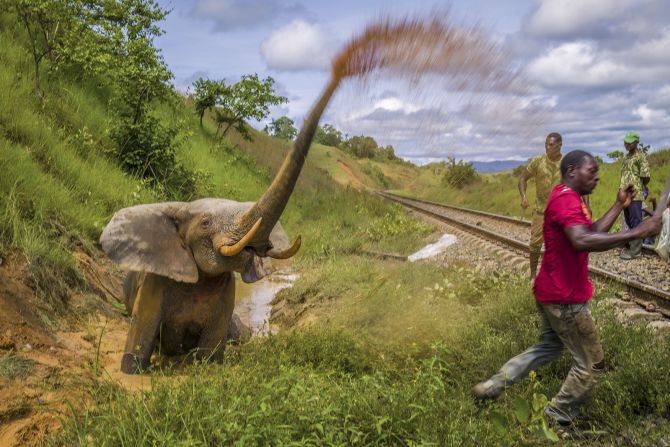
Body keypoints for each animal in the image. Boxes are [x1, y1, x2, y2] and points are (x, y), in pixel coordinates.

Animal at [101, 77, 342, 374]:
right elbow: (139, 341)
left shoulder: (226, 291)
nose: (339, 73)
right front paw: (133, 370)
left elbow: (211, 355)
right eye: (205, 223)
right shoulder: (155, 282)